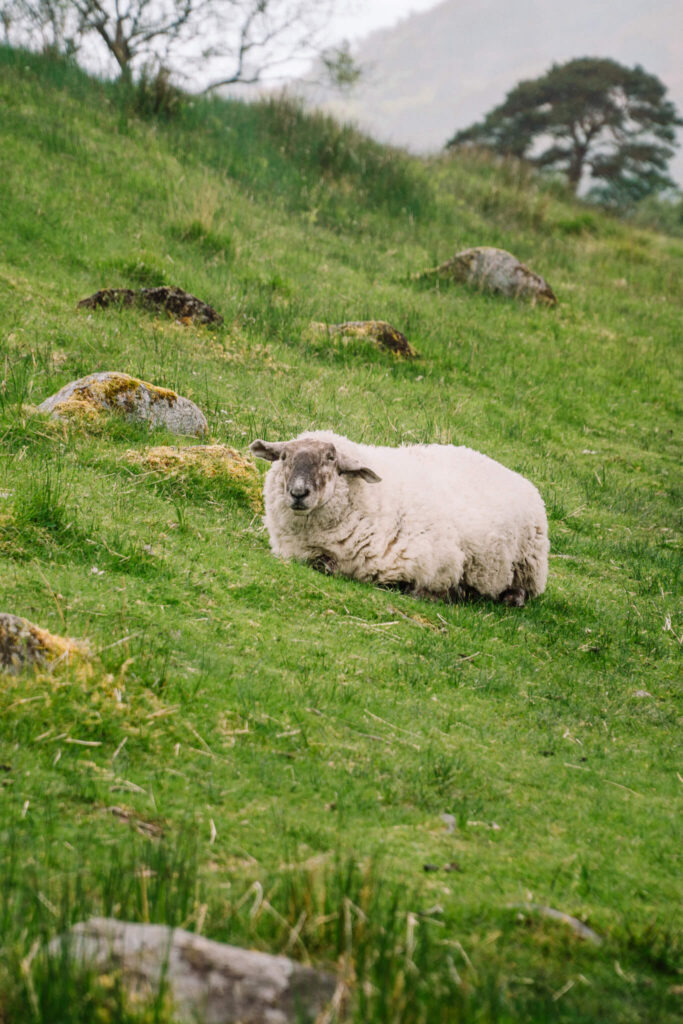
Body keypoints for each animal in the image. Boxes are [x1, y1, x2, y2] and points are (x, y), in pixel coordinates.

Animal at [250, 430, 548, 602]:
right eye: (284, 456)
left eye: (330, 458)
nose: (298, 493)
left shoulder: (433, 560)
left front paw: (440, 594)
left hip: (524, 566)